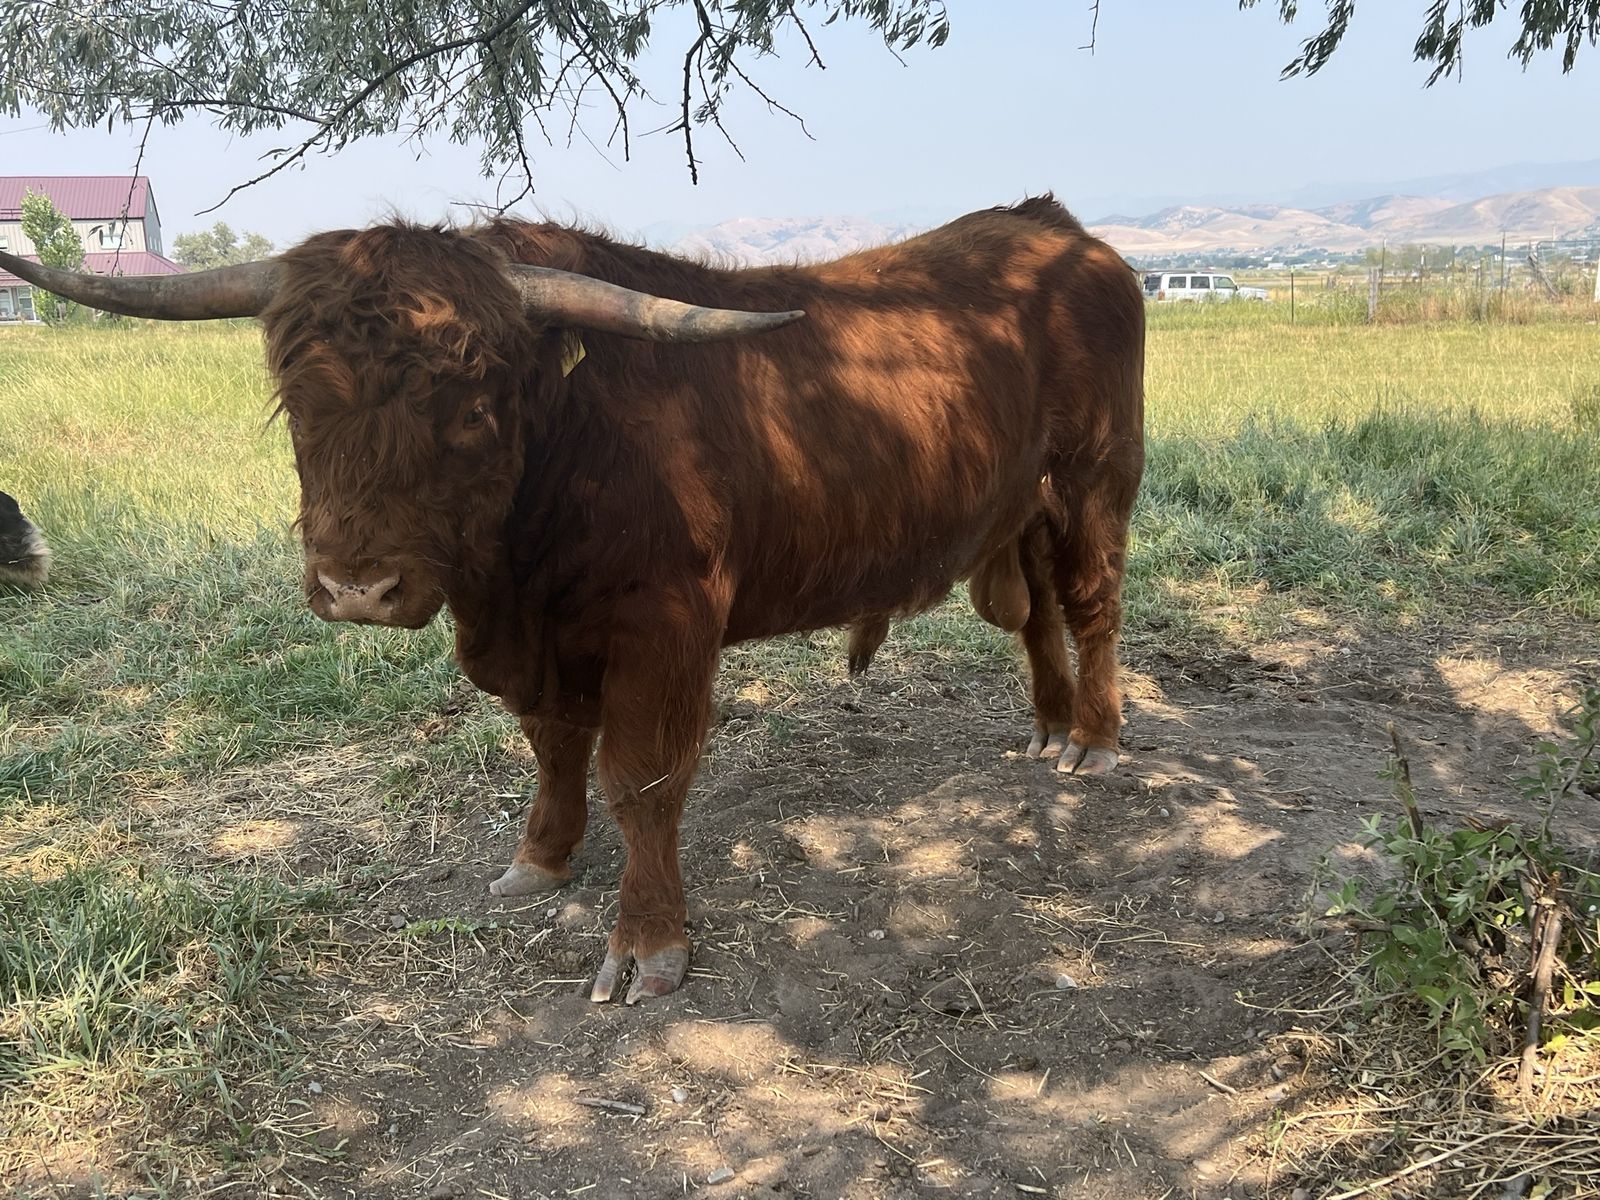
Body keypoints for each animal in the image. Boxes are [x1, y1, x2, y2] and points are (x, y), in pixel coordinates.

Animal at [0, 195, 1144, 1004]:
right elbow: (551, 743)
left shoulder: (667, 629)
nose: (357, 588)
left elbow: (640, 778)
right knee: (1037, 616)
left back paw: (1093, 736)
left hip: (1096, 479)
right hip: (1023, 504)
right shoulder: (535, 639)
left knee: (1091, 603)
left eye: (471, 403)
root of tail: (1053, 231)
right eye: (299, 398)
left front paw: (647, 943)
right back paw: (1048, 727)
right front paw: (540, 858)